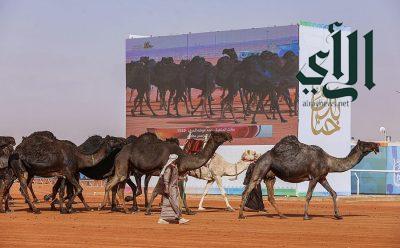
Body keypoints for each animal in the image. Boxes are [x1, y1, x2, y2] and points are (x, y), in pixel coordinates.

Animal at [239, 136, 380, 219]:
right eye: (367, 143)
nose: (377, 145)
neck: (328, 161)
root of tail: (258, 159)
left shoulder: (322, 177)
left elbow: (333, 193)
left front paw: (338, 215)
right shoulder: (314, 177)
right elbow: (308, 196)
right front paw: (306, 216)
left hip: (270, 175)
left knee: (270, 196)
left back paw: (282, 215)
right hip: (261, 169)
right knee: (247, 191)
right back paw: (241, 216)